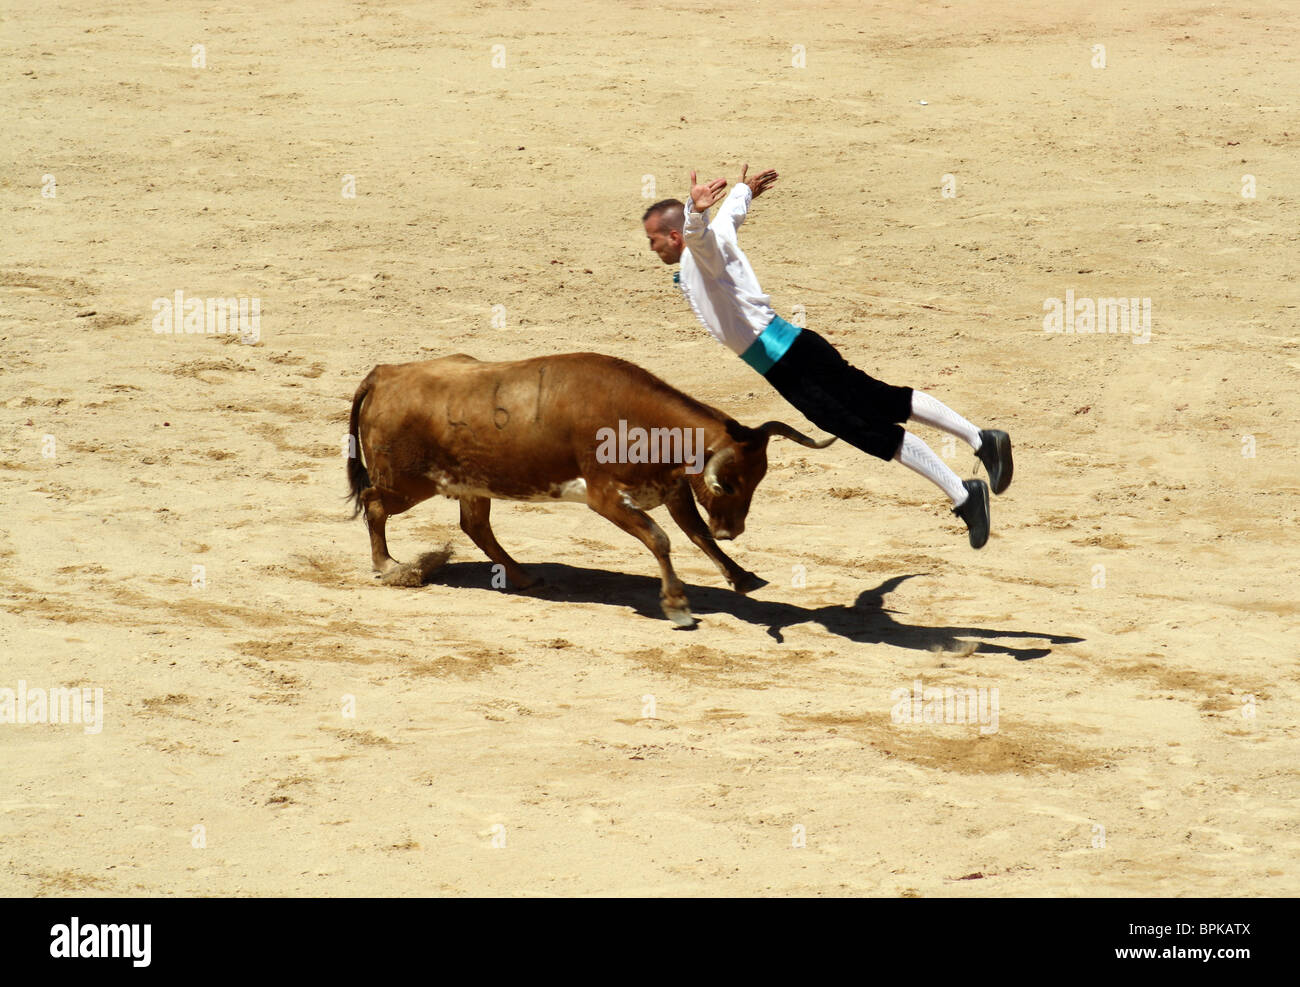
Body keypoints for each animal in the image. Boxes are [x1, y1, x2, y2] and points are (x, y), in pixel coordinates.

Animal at [345, 356, 832, 624]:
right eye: (728, 482)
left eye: (758, 478)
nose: (733, 530)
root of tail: (385, 374)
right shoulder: (606, 498)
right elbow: (660, 538)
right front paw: (676, 603)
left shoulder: (673, 488)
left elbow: (695, 534)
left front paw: (741, 575)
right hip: (407, 483)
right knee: (374, 503)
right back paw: (388, 566)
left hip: (471, 483)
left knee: (475, 525)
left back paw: (522, 576)